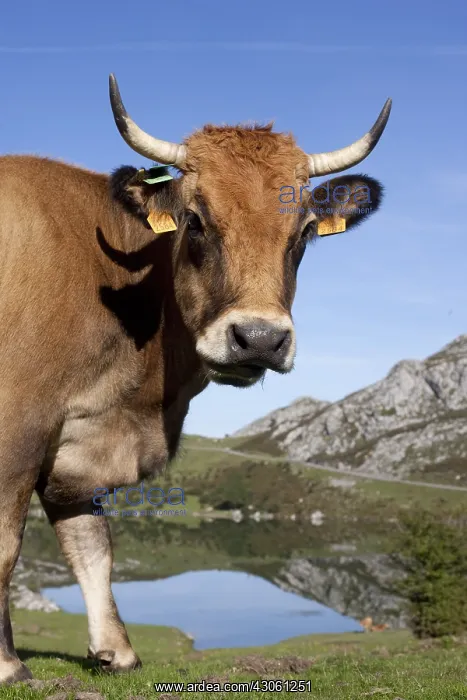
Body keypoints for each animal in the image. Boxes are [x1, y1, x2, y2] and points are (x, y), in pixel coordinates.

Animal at [0, 73, 391, 684]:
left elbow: (92, 546)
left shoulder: (75, 446)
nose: (260, 338)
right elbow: (5, 544)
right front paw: (7, 664)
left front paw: (116, 650)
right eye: (196, 220)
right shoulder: (19, 419)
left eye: (304, 232)